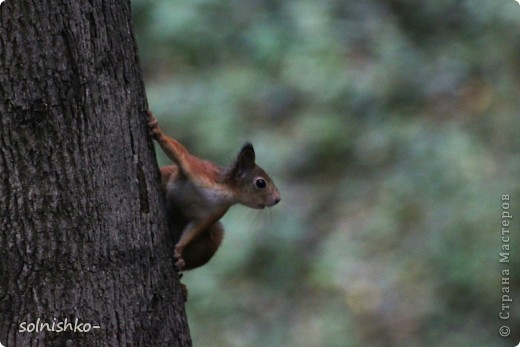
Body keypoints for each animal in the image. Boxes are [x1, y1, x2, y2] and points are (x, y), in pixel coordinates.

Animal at [146, 111, 280, 274]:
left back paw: (181, 265)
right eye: (261, 183)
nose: (278, 199)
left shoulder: (209, 215)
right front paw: (157, 131)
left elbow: (193, 230)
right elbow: (180, 153)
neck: (225, 193)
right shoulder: (197, 169)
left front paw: (179, 251)